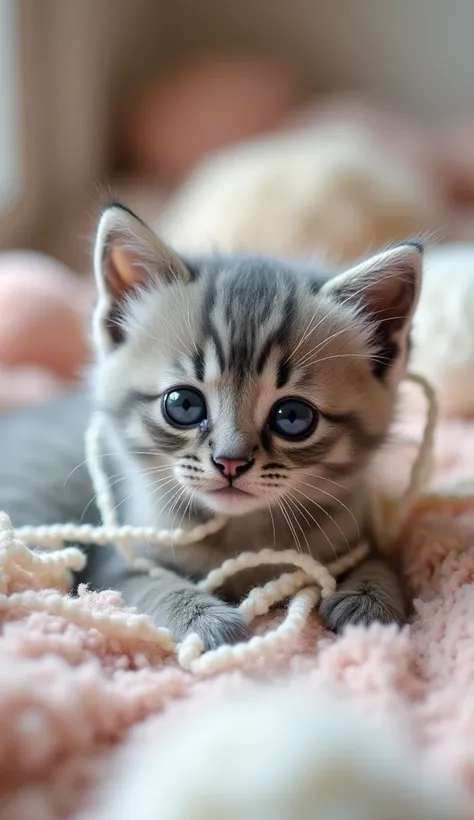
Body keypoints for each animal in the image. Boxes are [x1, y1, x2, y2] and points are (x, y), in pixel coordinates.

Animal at [0, 203, 422, 648]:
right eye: (183, 405)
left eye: (293, 417)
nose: (230, 462)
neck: (239, 535)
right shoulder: (113, 564)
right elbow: (148, 584)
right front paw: (203, 619)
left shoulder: (359, 534)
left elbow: (382, 561)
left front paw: (370, 600)